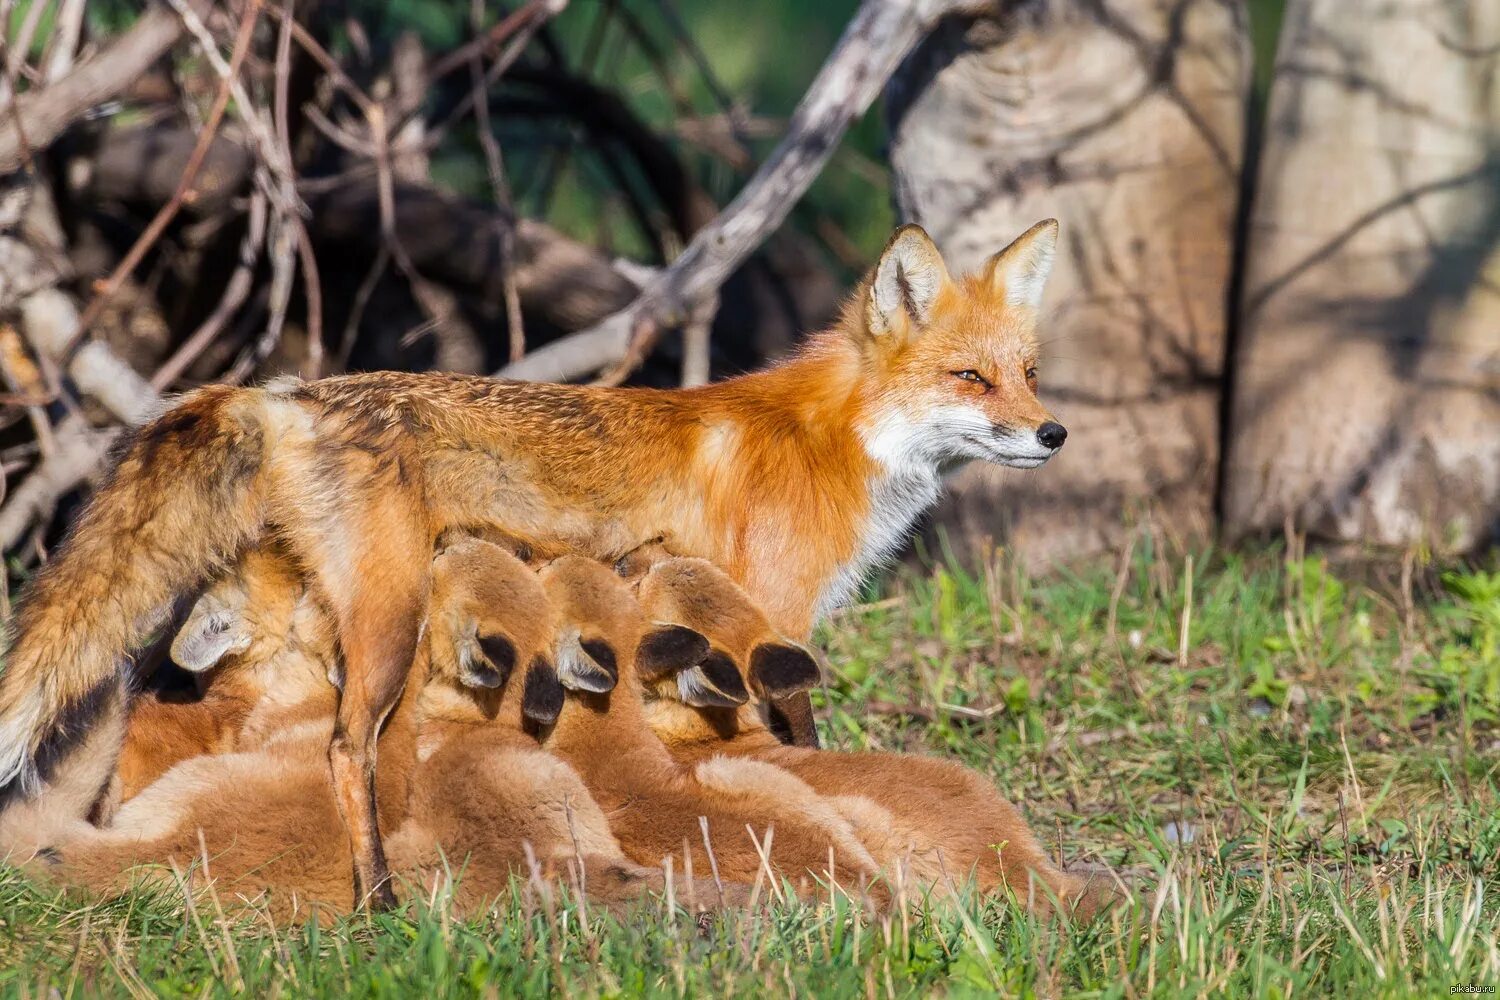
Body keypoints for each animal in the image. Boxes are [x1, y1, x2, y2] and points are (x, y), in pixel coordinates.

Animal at [0, 218, 1068, 905]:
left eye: (1028, 373)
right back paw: (377, 899)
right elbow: (796, 739)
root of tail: (286, 392)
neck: (830, 441)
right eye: (969, 378)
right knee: (345, 749)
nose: (1053, 433)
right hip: (389, 621)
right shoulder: (770, 616)